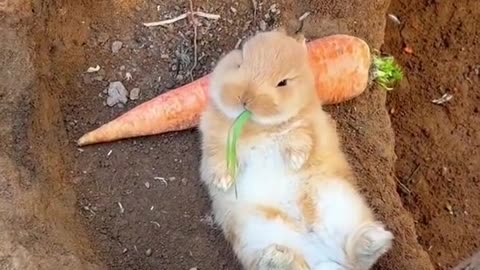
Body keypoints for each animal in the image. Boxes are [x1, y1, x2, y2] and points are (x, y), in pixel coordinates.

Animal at [197, 29, 392, 270]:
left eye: (283, 82)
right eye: (239, 63)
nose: (246, 99)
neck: (257, 126)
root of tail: (326, 257)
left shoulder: (309, 125)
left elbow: (300, 135)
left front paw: (296, 161)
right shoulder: (214, 141)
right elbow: (217, 158)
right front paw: (224, 182)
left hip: (338, 200)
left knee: (355, 257)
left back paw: (375, 240)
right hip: (256, 232)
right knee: (297, 263)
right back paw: (278, 256)